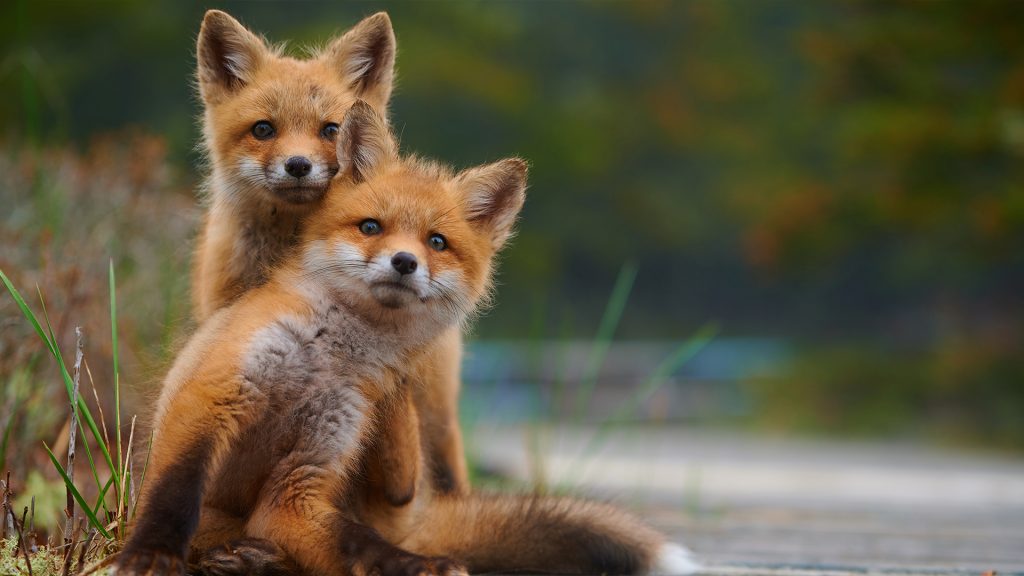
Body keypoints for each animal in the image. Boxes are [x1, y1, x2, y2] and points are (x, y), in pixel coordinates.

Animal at [117, 103, 696, 573]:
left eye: (436, 242)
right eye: (371, 227)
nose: (404, 262)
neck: (327, 357)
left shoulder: (303, 478)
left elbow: (356, 542)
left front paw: (414, 566)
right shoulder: (213, 396)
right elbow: (174, 493)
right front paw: (150, 555)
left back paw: (257, 557)